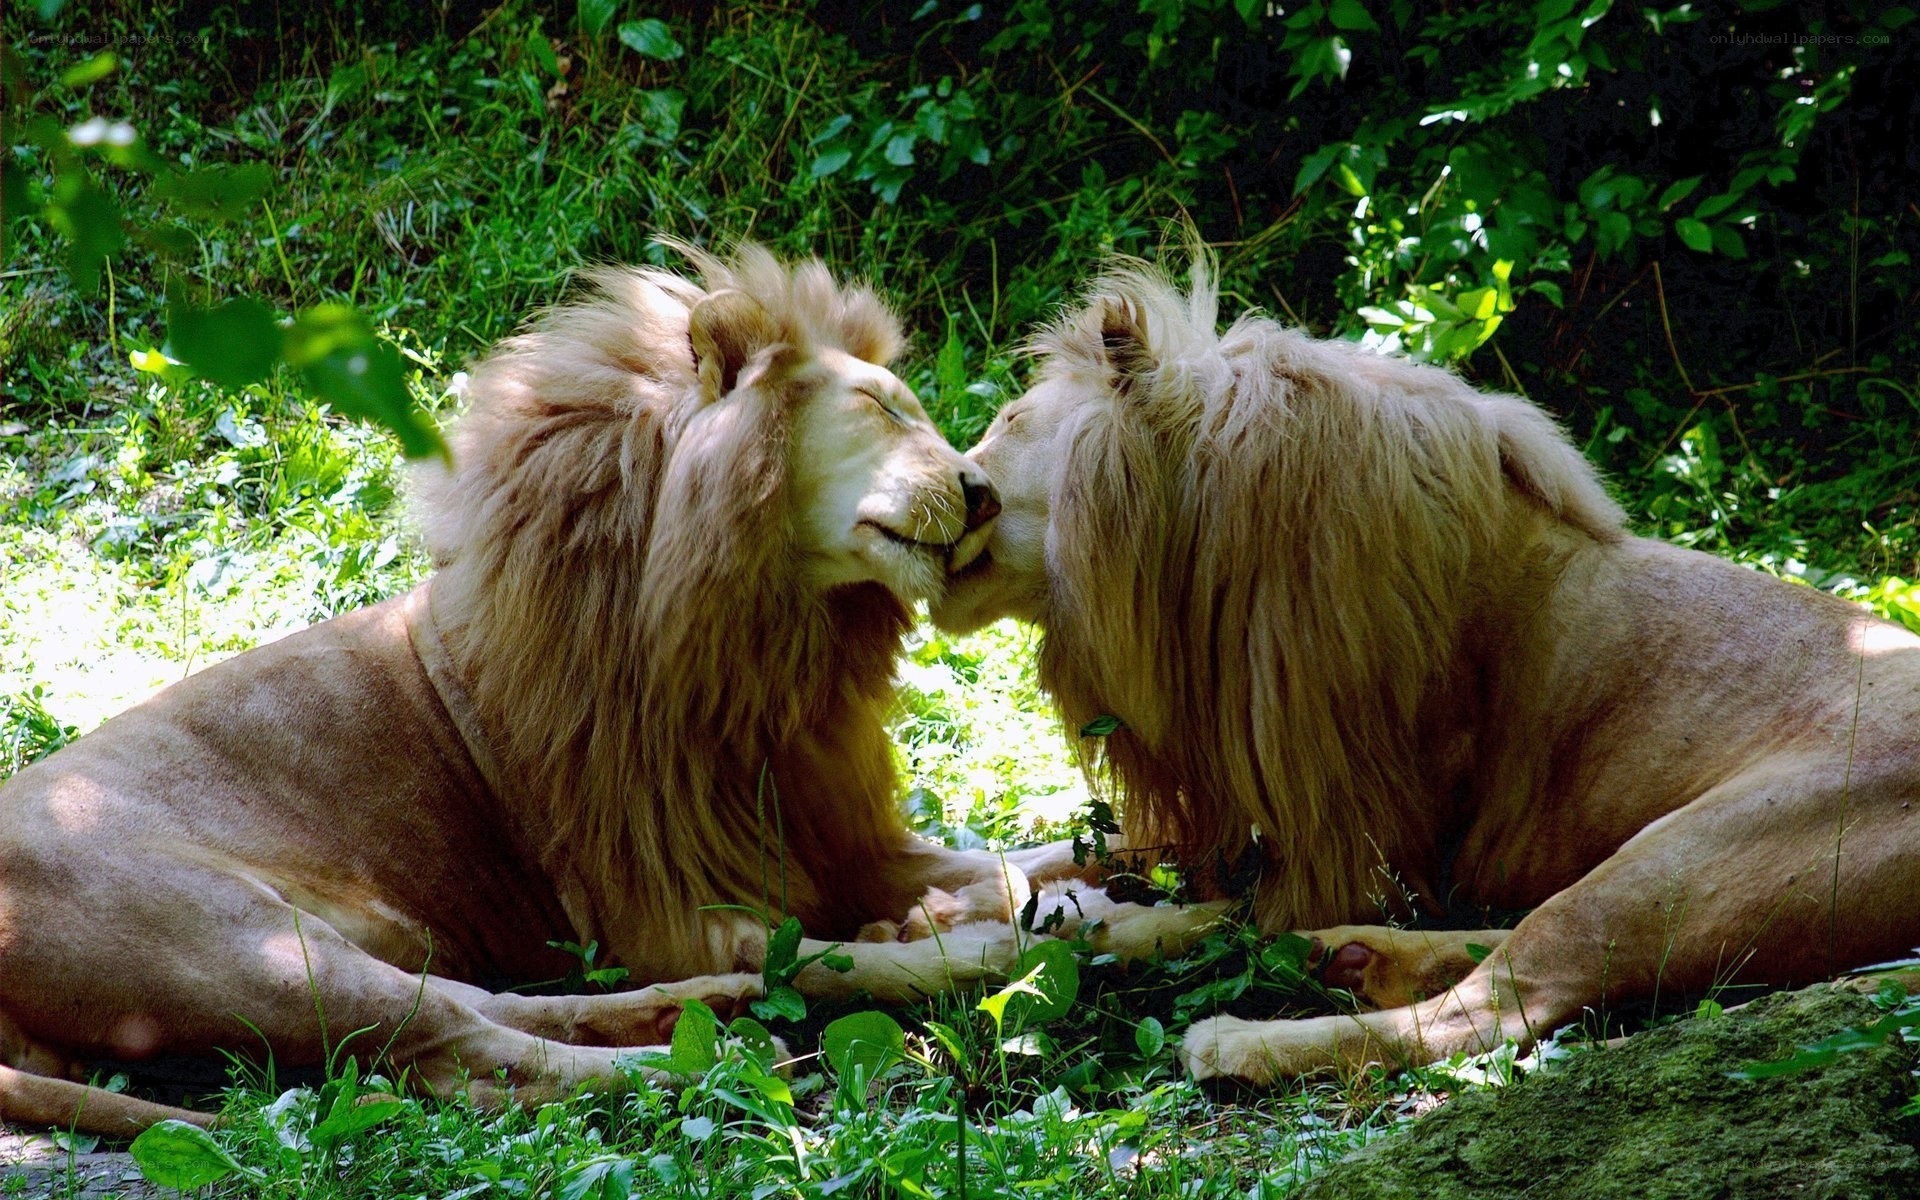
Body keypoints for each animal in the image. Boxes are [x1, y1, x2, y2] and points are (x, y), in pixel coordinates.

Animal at [0, 242, 1036, 1135]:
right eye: (883, 410)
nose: (986, 494)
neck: (767, 641)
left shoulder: (823, 839)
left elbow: (1003, 862)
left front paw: (1009, 894)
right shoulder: (668, 909)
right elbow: (839, 959)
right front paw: (976, 940)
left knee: (488, 1011)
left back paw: (700, 1012)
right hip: (247, 947)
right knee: (473, 1060)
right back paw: (724, 1058)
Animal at [931, 254, 1920, 1084]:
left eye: (1009, 421)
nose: (950, 482)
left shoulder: (1361, 832)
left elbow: (1201, 907)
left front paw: (1074, 920)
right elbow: (1074, 849)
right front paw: (962, 894)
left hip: (1692, 848)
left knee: (1498, 1005)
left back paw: (1242, 1039)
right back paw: (1348, 954)